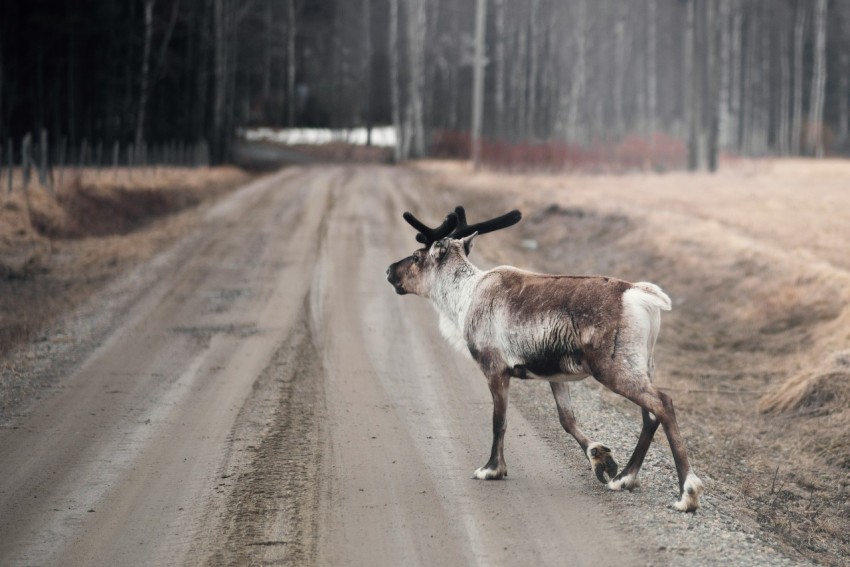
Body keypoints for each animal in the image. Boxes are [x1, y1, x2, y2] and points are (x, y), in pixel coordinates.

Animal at [386, 206, 703, 512]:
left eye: (416, 257)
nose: (389, 270)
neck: (463, 298)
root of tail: (640, 295)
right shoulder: (556, 374)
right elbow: (566, 419)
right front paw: (599, 458)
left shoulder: (495, 368)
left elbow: (499, 420)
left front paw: (492, 469)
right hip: (642, 365)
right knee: (650, 417)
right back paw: (624, 478)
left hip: (613, 368)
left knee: (663, 404)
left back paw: (686, 494)